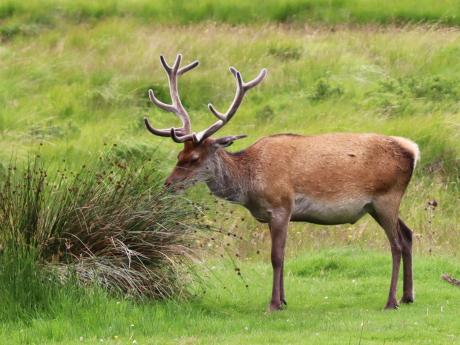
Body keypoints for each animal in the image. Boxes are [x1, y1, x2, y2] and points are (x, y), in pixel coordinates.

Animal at [144, 54, 420, 312]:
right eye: (178, 155)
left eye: (194, 158)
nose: (168, 184)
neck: (250, 184)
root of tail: (413, 151)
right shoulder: (274, 213)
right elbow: (284, 255)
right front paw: (284, 300)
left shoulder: (281, 206)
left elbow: (276, 256)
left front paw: (274, 303)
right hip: (377, 205)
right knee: (407, 234)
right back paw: (407, 296)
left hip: (386, 197)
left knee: (395, 244)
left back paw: (391, 301)